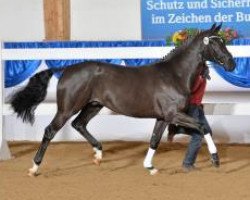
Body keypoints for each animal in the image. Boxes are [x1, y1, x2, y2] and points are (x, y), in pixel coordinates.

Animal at [9, 23, 235, 176]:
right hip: (67, 108)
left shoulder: (163, 118)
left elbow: (154, 140)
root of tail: (66, 69)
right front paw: (215, 159)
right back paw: (34, 167)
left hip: (93, 105)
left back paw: (98, 155)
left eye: (224, 41)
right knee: (50, 130)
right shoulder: (173, 114)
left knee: (79, 124)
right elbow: (203, 127)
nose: (231, 64)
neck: (174, 75)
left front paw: (150, 167)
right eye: (215, 43)